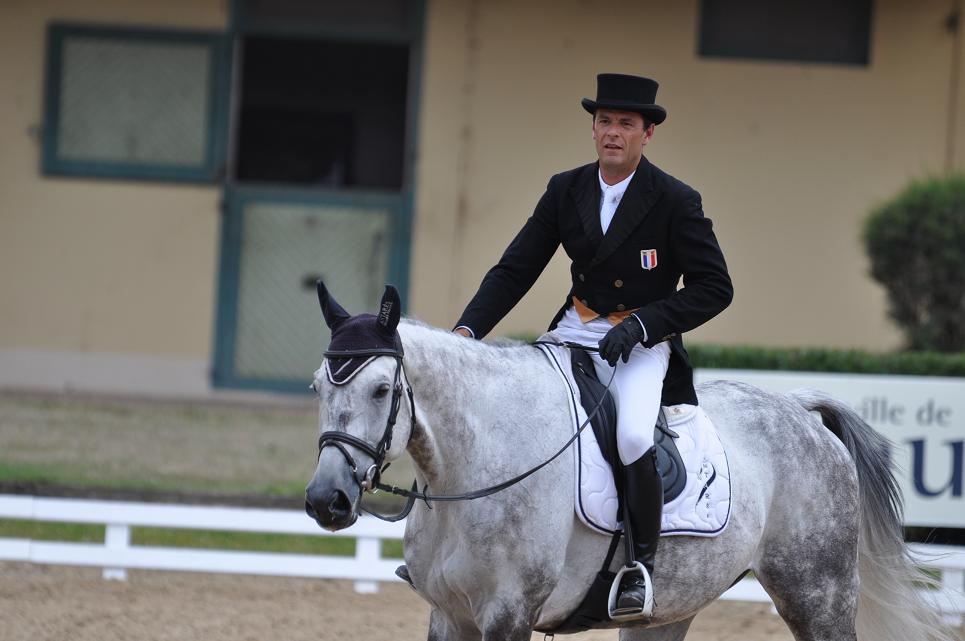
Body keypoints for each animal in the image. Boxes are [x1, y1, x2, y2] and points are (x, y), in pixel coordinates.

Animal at [306, 286, 952, 640]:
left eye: (382, 389)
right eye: (317, 386)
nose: (325, 501)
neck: (473, 464)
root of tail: (800, 409)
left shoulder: (507, 614)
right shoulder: (449, 616)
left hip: (819, 593)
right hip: (673, 606)